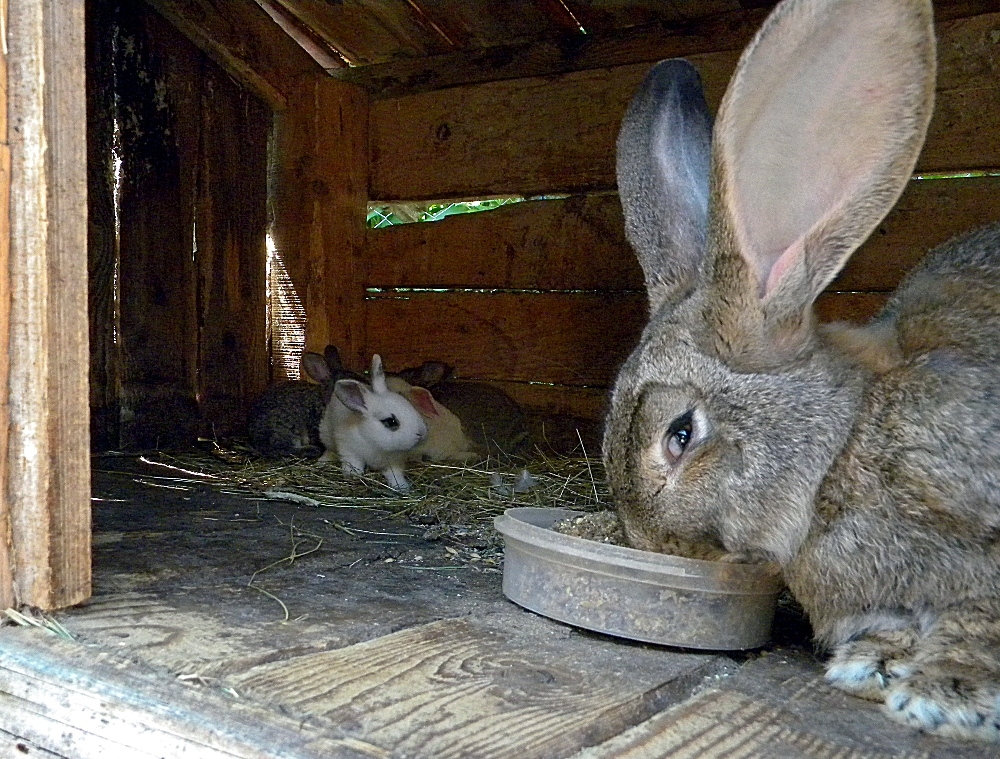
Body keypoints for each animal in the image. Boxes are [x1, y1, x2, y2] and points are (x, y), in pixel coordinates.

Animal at [318, 354, 428, 492]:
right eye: (391, 421)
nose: (421, 433)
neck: (374, 442)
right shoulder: (349, 449)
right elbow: (353, 463)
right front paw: (353, 475)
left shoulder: (394, 463)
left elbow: (395, 475)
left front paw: (402, 487)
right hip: (326, 435)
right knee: (329, 449)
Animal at [604, 0, 1000, 744]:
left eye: (680, 434)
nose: (655, 545)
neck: (843, 450)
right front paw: (874, 664)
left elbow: (976, 621)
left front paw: (944, 693)